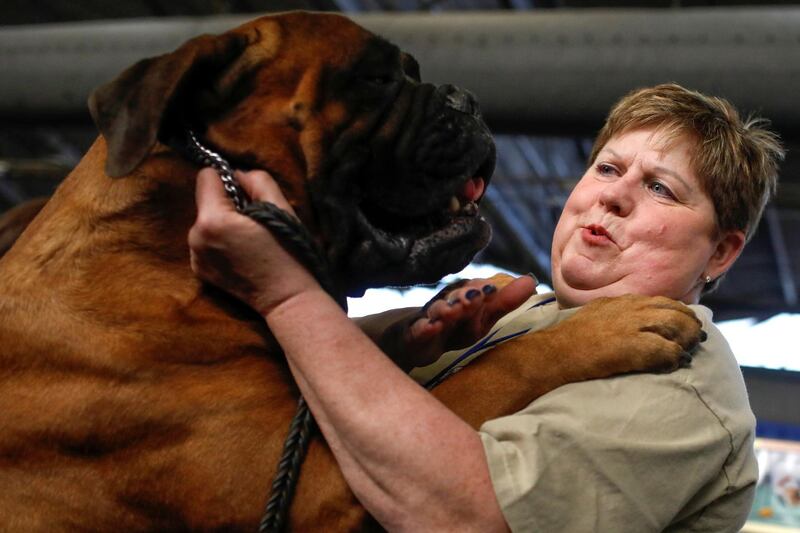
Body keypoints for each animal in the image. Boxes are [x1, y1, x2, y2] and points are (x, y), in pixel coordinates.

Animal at [0, 10, 700, 528]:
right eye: (375, 80)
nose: (466, 98)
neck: (168, 242)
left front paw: (450, 314)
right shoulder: (311, 485)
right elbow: (497, 369)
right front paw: (612, 325)